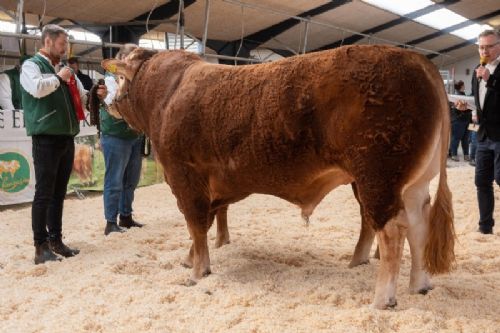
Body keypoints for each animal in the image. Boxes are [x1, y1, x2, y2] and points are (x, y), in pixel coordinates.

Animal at [103, 44, 456, 308]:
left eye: (117, 77)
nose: (106, 102)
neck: (166, 92)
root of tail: (418, 59)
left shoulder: (184, 175)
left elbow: (196, 224)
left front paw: (197, 271)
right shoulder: (212, 186)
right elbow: (204, 224)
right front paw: (190, 260)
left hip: (378, 177)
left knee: (392, 229)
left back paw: (383, 299)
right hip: (412, 184)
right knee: (418, 226)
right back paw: (419, 284)